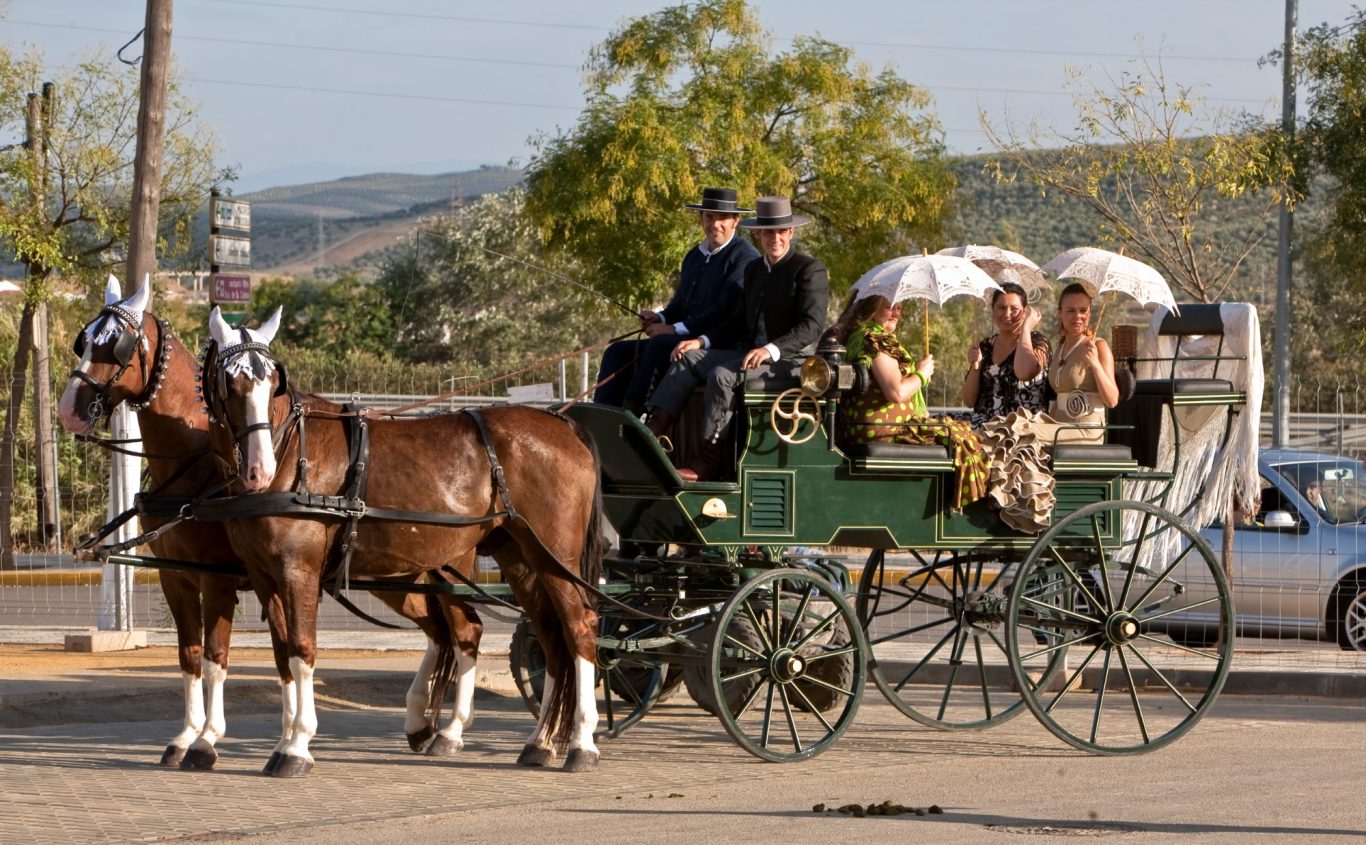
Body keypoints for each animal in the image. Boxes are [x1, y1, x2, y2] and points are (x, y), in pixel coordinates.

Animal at [57, 278, 483, 770]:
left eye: (116, 345)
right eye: (85, 340)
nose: (70, 409)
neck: (196, 461)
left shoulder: (217, 577)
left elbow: (217, 656)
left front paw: (209, 740)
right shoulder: (176, 576)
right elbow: (191, 655)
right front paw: (187, 736)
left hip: (444, 570)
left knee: (465, 631)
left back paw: (452, 730)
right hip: (400, 577)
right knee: (439, 632)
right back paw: (421, 723)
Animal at [201, 305, 605, 775]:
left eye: (272, 382)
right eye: (230, 383)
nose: (258, 470)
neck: (291, 453)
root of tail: (562, 423)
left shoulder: (297, 571)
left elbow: (302, 650)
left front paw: (298, 744)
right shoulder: (264, 575)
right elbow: (284, 655)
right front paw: (284, 741)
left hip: (556, 556)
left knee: (579, 628)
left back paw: (581, 742)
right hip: (519, 558)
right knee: (547, 634)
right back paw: (537, 742)